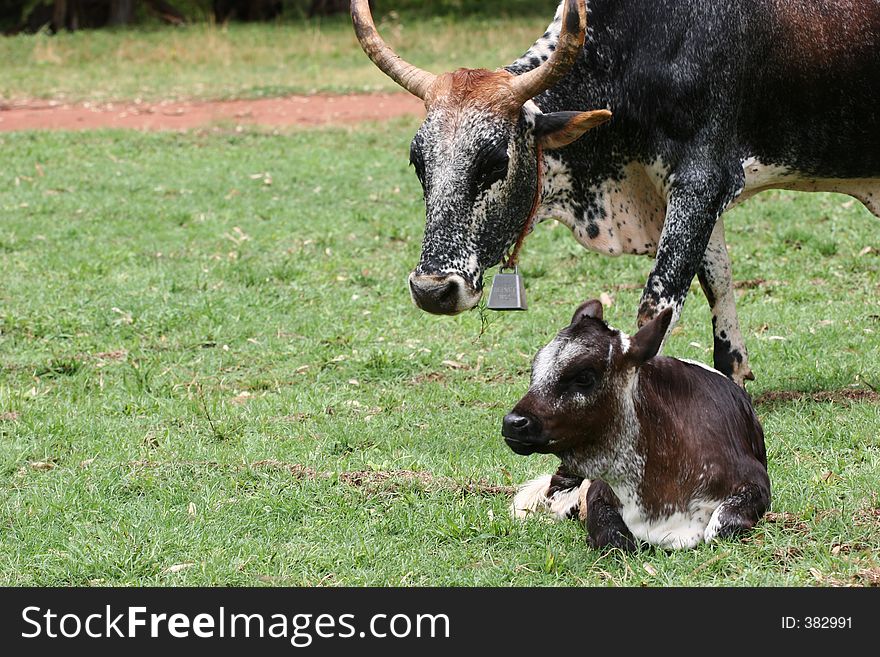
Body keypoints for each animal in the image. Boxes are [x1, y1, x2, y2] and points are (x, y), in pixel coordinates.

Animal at [350, 0, 880, 386]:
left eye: (495, 162)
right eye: (418, 163)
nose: (432, 289)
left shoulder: (702, 180)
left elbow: (657, 305)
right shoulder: (687, 195)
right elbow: (719, 280)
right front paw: (732, 371)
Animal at [502, 300, 768, 552]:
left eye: (584, 377)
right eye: (535, 370)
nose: (513, 423)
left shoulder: (757, 482)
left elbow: (720, 528)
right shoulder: (599, 491)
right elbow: (614, 539)